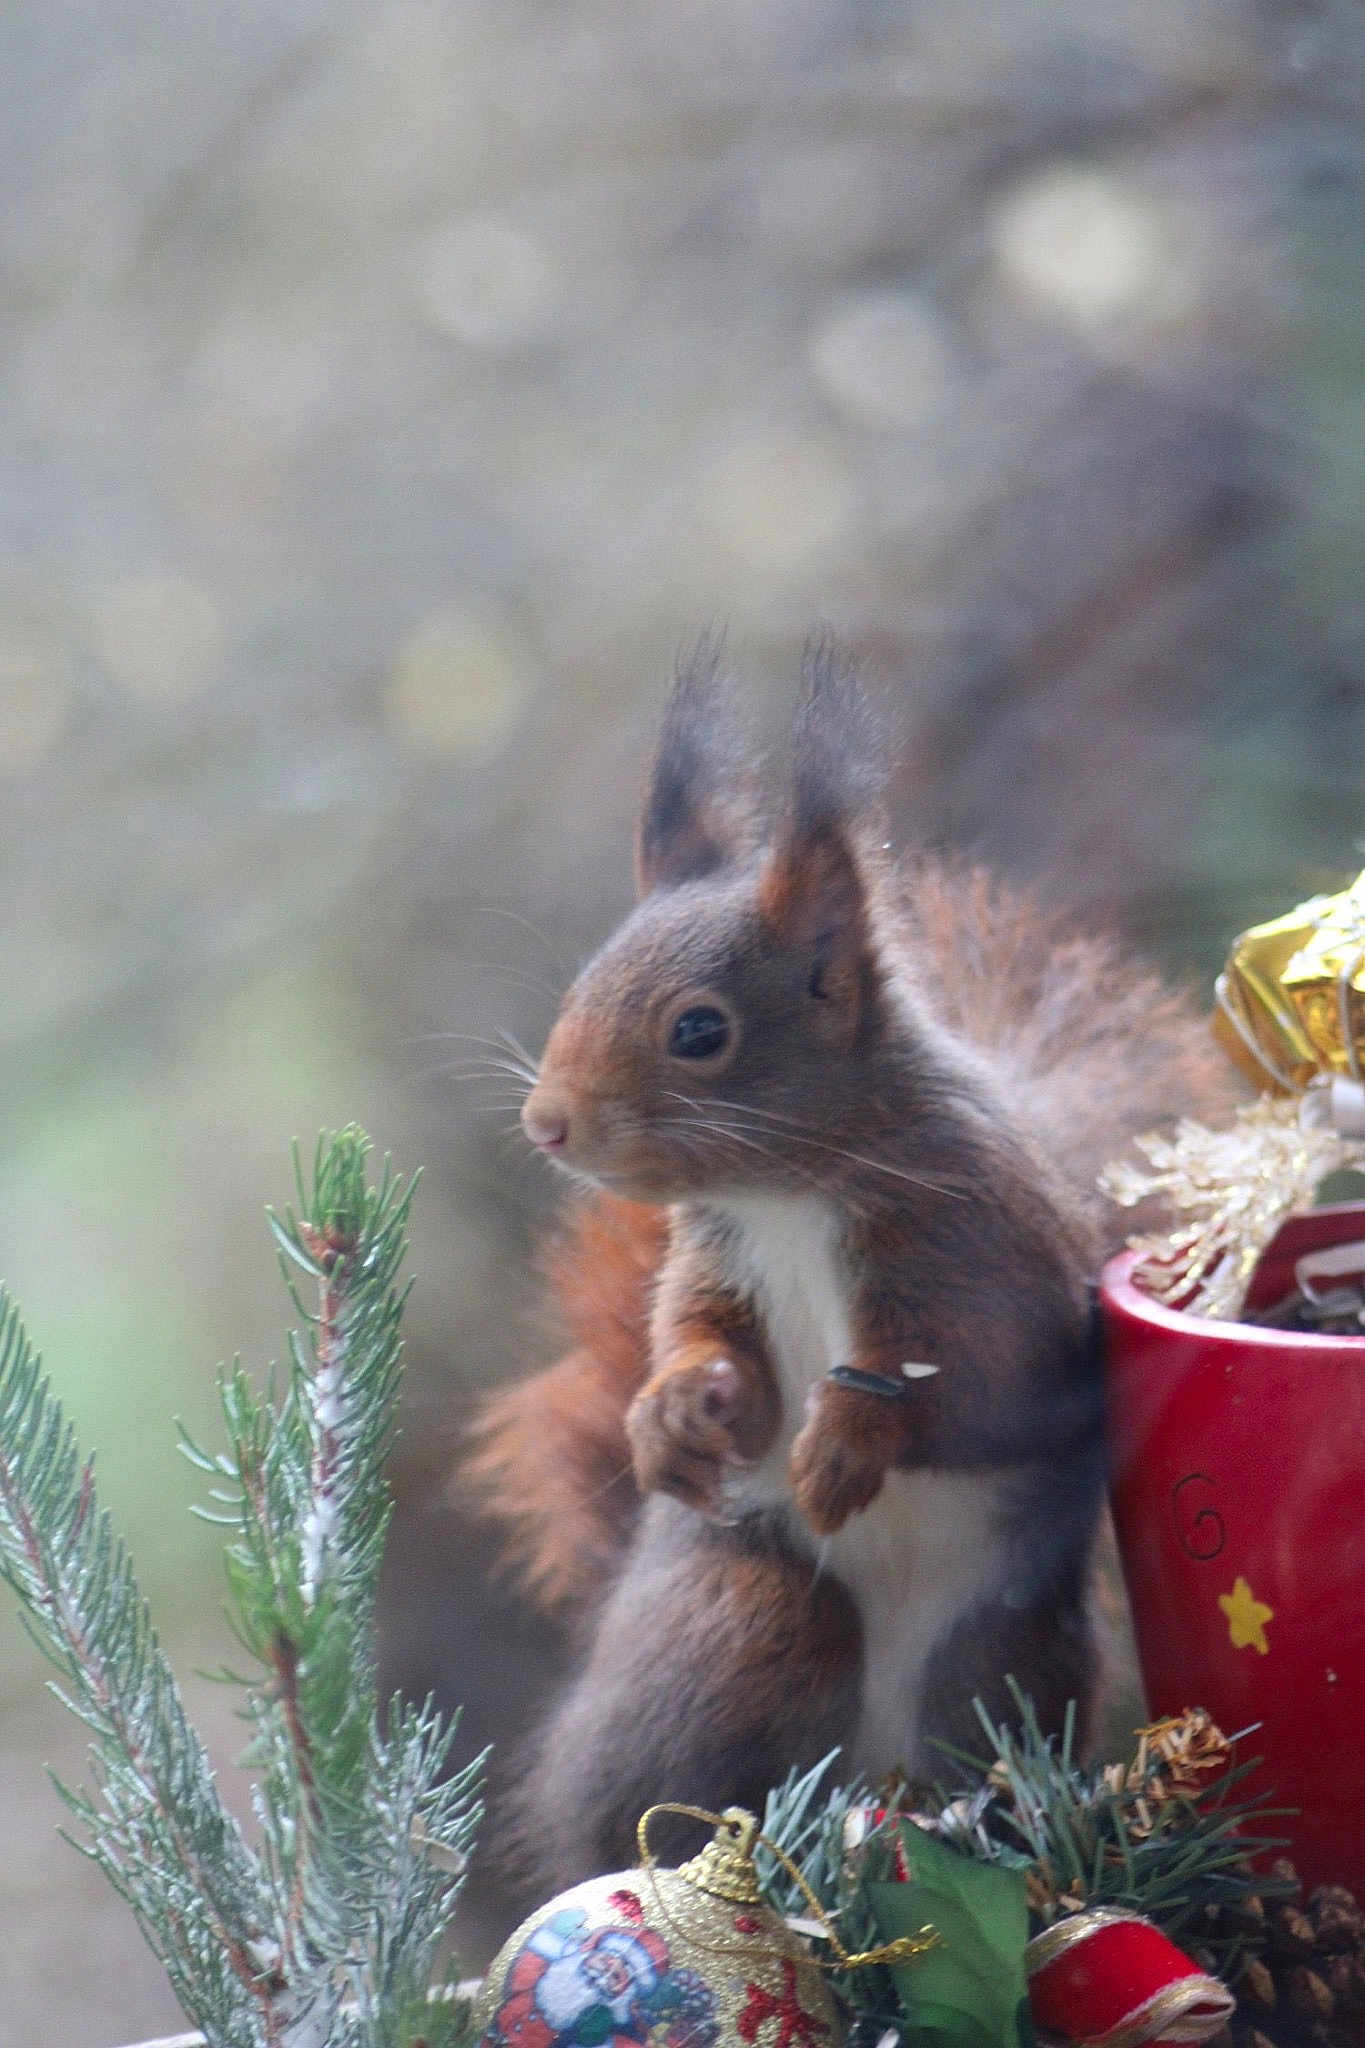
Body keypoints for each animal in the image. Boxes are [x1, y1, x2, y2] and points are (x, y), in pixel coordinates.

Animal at [465, 637, 1234, 1888]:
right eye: (581, 984)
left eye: (699, 1030)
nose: (549, 1125)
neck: (789, 1193)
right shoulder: (716, 1257)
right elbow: (698, 1339)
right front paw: (671, 1411)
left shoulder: (992, 1259)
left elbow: (977, 1382)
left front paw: (847, 1435)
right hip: (739, 1616)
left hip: (994, 1652)